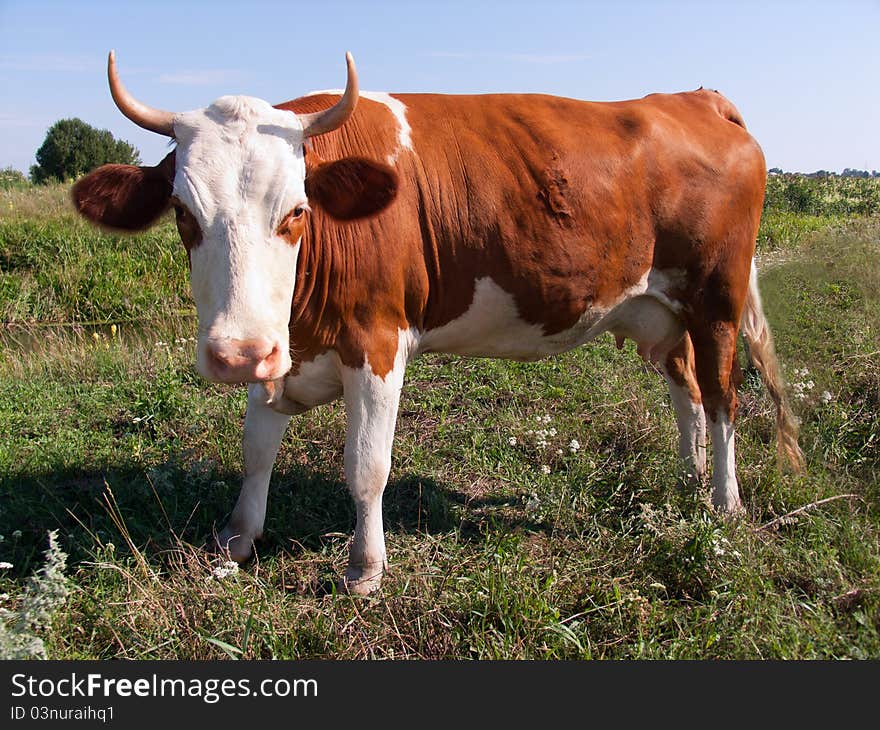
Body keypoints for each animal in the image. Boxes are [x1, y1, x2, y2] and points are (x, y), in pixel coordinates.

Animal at [75, 54, 804, 596]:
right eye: (183, 214)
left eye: (296, 212)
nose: (233, 354)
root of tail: (695, 98)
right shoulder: (280, 345)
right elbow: (257, 449)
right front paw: (237, 537)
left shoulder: (377, 340)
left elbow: (366, 465)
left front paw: (364, 569)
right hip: (658, 310)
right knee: (687, 391)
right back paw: (688, 481)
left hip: (716, 299)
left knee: (723, 396)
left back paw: (725, 504)